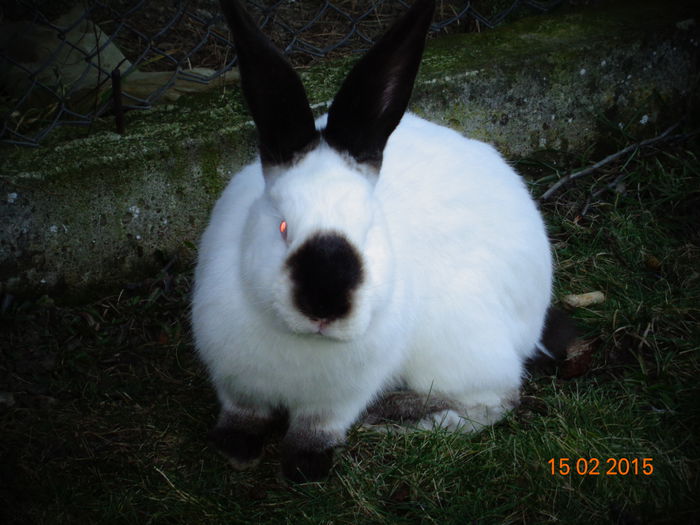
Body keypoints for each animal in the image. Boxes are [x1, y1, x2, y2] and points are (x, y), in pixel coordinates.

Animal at [192, 0, 556, 482]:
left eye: (368, 228)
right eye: (283, 227)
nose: (324, 305)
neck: (301, 343)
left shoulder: (337, 402)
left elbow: (317, 429)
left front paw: (304, 468)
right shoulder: (236, 384)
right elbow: (243, 414)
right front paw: (236, 449)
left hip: (457, 345)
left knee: (496, 399)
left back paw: (396, 416)